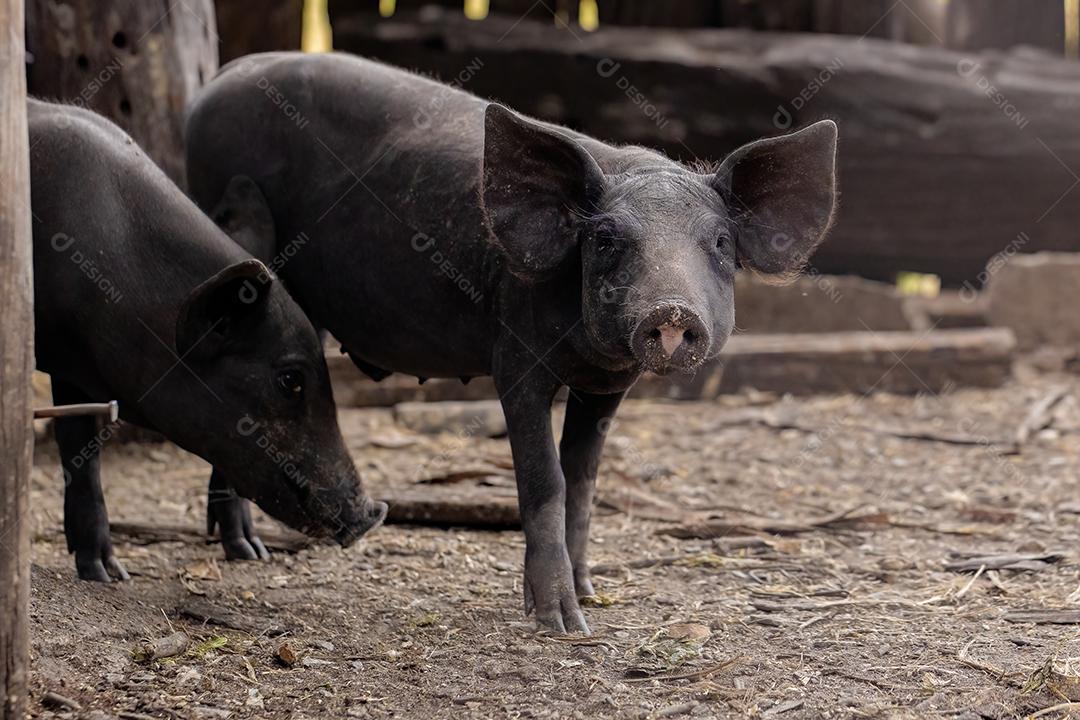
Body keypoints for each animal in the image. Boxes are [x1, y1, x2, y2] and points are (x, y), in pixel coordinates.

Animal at [28, 98, 388, 582]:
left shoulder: (76, 369)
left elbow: (81, 450)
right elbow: (80, 452)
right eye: (290, 379)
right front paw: (109, 576)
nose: (374, 515)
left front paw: (251, 553)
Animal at [185, 55, 833, 630]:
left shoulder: (608, 384)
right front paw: (562, 624)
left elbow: (583, 479)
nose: (671, 308)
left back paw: (245, 549)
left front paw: (590, 596)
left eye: (721, 243)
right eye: (605, 241)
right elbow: (545, 479)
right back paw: (247, 552)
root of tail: (220, 79)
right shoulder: (515, 355)